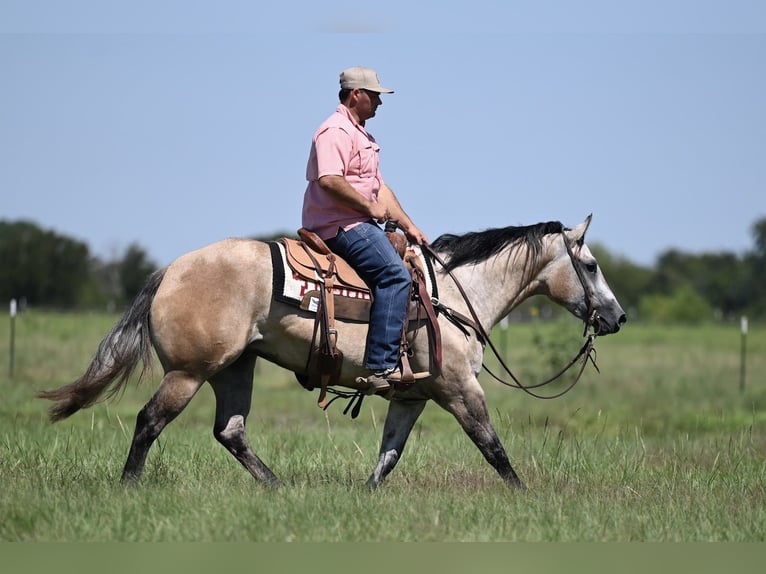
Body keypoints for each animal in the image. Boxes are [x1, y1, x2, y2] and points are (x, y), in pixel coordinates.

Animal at [38, 215, 626, 489]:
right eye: (591, 265)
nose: (618, 318)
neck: (454, 296)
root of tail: (170, 270)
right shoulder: (460, 389)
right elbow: (493, 447)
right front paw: (526, 495)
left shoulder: (412, 396)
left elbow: (389, 456)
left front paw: (365, 499)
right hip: (189, 371)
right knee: (149, 421)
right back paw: (128, 488)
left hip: (235, 368)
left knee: (230, 431)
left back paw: (279, 489)